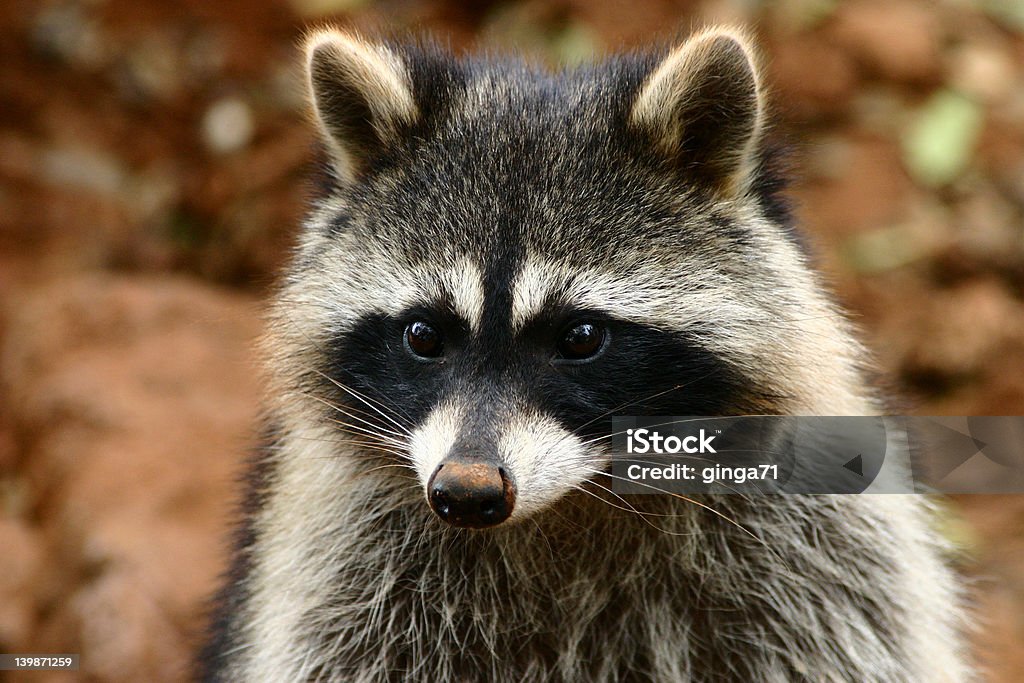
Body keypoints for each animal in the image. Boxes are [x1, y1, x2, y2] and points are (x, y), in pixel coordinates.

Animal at [197, 26, 966, 683]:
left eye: (580, 338)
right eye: (423, 336)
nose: (467, 492)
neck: (572, 502)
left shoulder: (820, 551)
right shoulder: (340, 567)